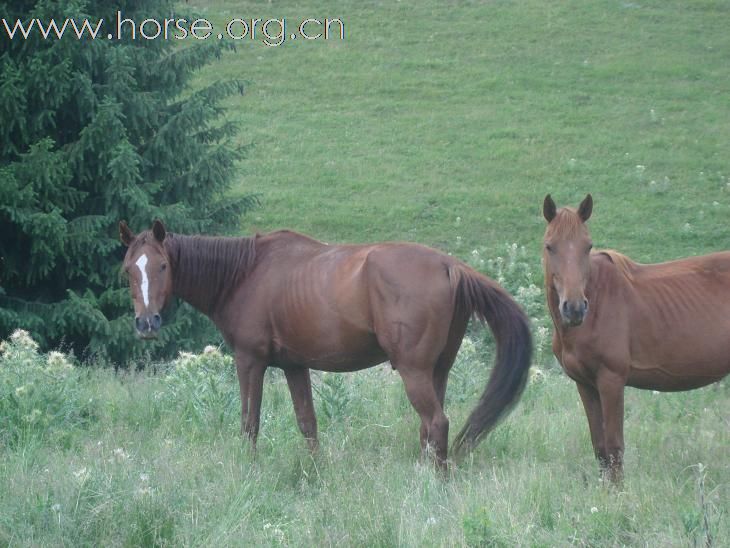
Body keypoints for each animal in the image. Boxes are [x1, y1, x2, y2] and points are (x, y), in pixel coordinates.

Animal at [118, 220, 528, 464]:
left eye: (163, 266)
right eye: (128, 270)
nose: (147, 322)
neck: (244, 274)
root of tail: (449, 265)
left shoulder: (249, 361)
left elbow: (250, 423)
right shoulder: (294, 366)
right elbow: (308, 424)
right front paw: (315, 473)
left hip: (414, 372)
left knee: (437, 423)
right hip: (437, 371)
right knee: (428, 428)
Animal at [536, 195, 728, 482]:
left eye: (587, 246)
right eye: (550, 246)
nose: (575, 308)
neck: (599, 301)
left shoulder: (611, 380)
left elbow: (615, 447)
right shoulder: (585, 385)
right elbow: (600, 448)